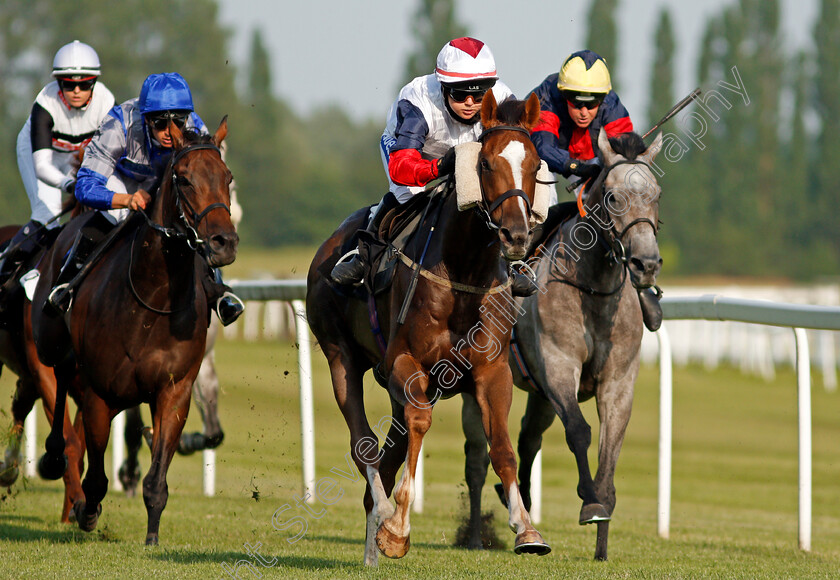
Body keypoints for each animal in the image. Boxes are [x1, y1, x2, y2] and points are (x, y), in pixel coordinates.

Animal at [29, 119, 238, 544]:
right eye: (184, 178)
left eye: (227, 177)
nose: (224, 242)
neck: (151, 299)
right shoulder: (100, 393)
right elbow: (95, 478)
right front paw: (85, 511)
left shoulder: (175, 390)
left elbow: (157, 478)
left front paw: (152, 537)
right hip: (51, 341)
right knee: (60, 376)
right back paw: (54, 456)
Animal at [308, 92, 552, 568]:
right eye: (486, 164)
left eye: (534, 165)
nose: (516, 235)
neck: (463, 272)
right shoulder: (405, 362)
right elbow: (420, 423)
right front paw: (398, 527)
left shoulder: (491, 370)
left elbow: (502, 446)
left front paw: (526, 529)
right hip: (340, 356)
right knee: (365, 444)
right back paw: (383, 516)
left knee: (387, 454)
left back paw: (373, 541)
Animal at [462, 129, 668, 560]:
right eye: (612, 195)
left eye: (656, 193)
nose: (645, 264)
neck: (594, 290)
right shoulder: (559, 367)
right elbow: (579, 431)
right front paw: (589, 502)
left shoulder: (618, 383)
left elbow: (610, 448)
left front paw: (602, 535)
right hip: (481, 383)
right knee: (476, 458)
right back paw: (474, 536)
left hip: (538, 393)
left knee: (528, 437)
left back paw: (519, 499)